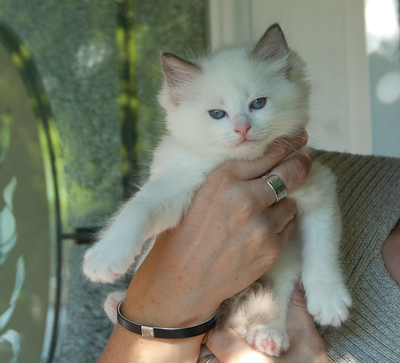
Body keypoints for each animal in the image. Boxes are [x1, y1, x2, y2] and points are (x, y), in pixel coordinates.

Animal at [83, 24, 350, 356]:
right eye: (217, 114)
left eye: (258, 104)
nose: (242, 128)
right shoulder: (174, 184)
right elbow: (138, 209)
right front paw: (105, 258)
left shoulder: (318, 185)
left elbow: (322, 248)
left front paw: (329, 298)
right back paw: (115, 300)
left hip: (282, 263)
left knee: (276, 294)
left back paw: (269, 335)